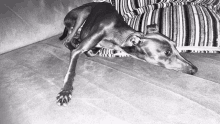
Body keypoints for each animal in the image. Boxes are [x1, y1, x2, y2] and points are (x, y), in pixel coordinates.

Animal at [56, 1, 198, 105]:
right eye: (167, 53)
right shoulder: (79, 50)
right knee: (67, 40)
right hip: (84, 13)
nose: (195, 69)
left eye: (175, 46)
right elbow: (71, 70)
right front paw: (65, 91)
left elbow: (91, 52)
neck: (115, 33)